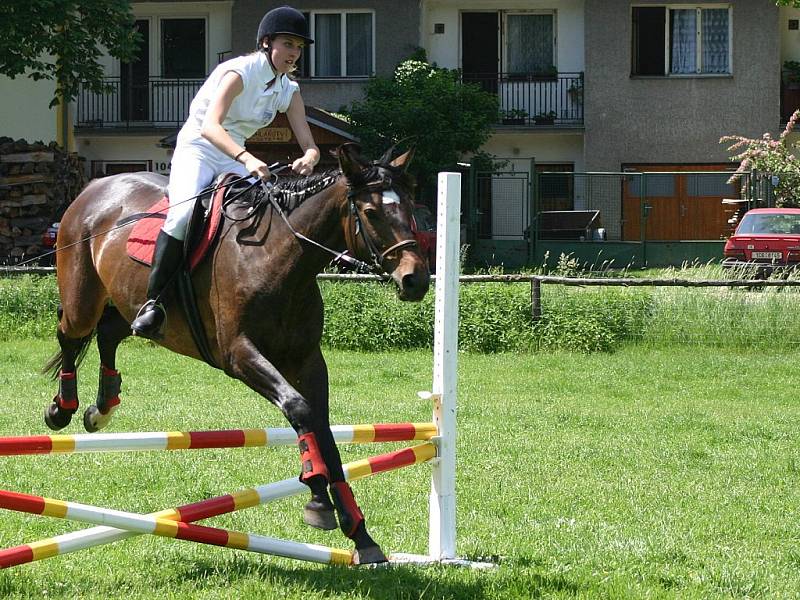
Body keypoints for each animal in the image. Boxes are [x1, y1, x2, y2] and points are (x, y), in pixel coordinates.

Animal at [42, 143, 432, 564]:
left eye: (410, 207)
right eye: (372, 212)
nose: (416, 280)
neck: (281, 258)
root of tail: (94, 187)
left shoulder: (308, 361)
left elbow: (323, 429)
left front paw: (360, 533)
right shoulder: (240, 354)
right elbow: (299, 410)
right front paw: (316, 496)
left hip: (123, 300)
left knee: (110, 333)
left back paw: (102, 408)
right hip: (83, 296)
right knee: (71, 334)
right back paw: (62, 408)